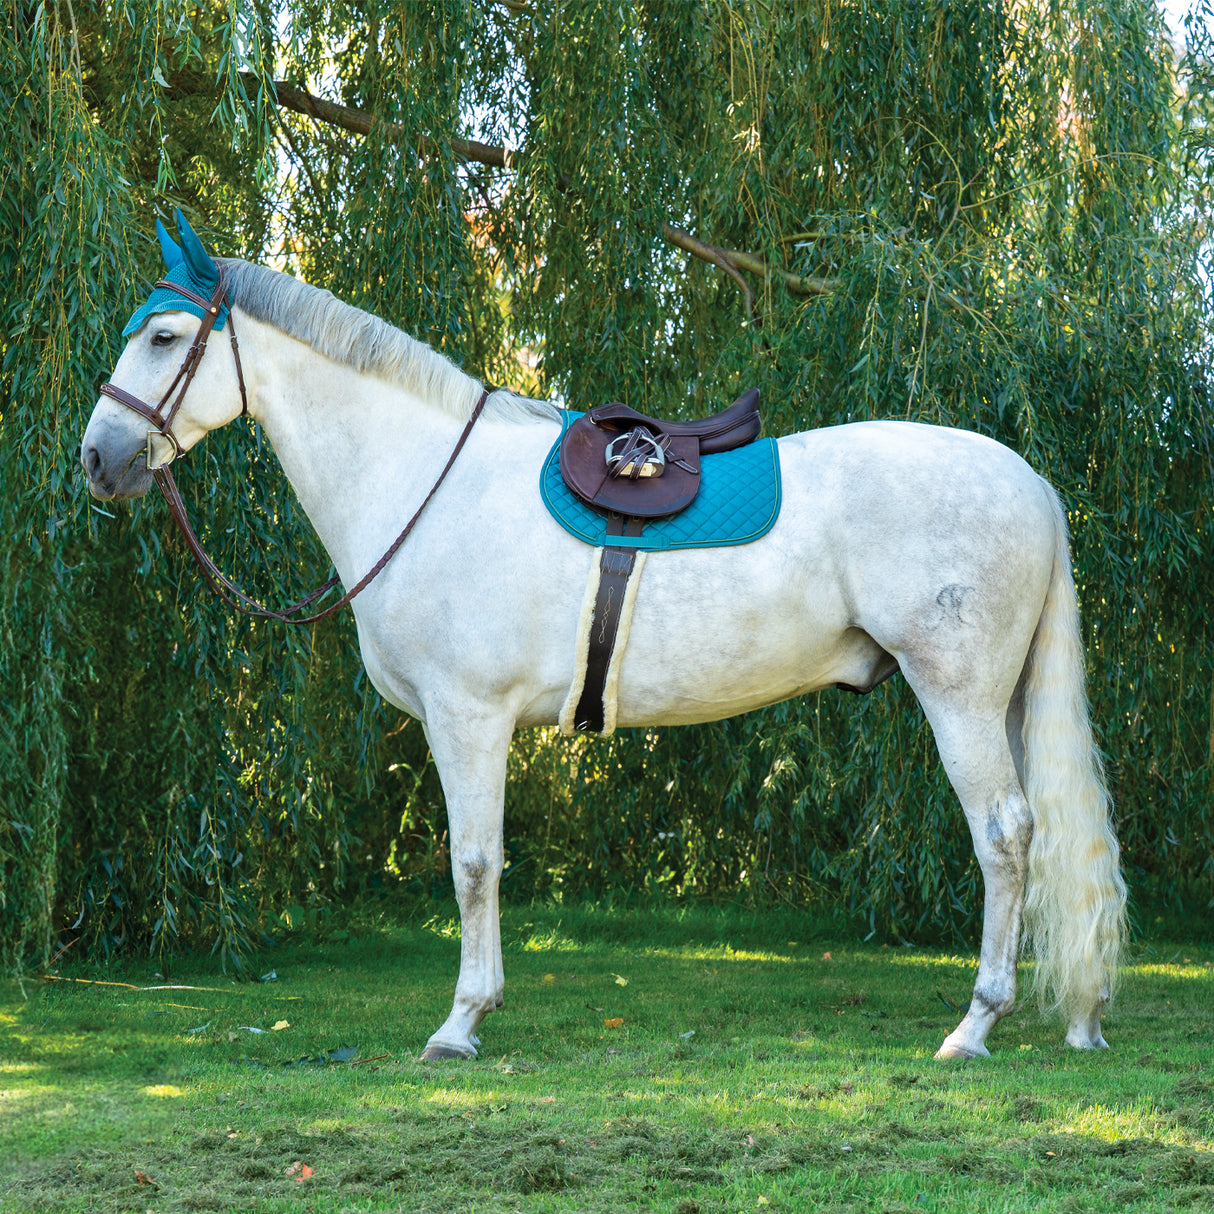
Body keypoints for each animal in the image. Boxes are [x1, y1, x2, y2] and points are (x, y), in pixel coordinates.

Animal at [81, 218, 1126, 1061]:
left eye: (165, 337)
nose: (99, 459)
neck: (425, 478)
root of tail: (1032, 483)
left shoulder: (468, 719)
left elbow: (473, 864)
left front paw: (461, 1023)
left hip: (961, 699)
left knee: (1005, 836)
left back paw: (974, 1025)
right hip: (1008, 701)